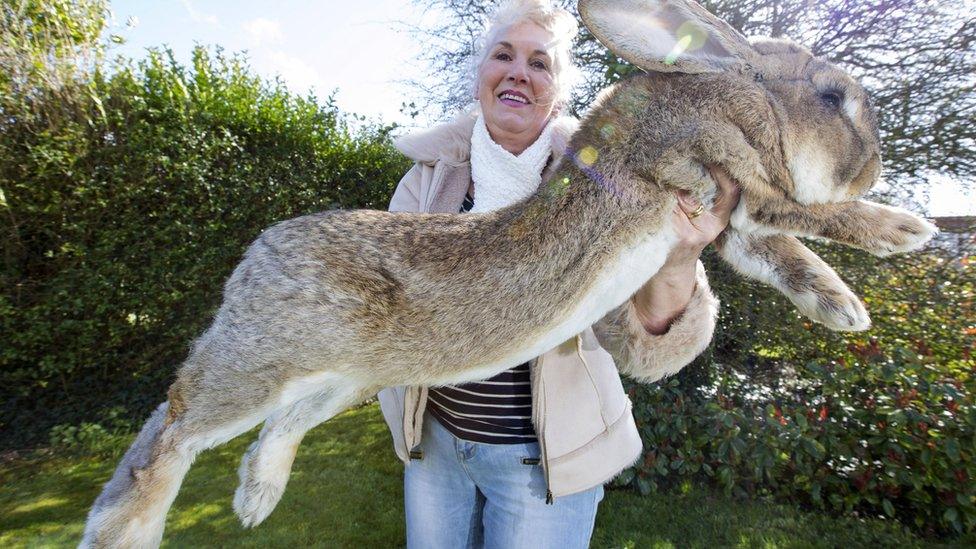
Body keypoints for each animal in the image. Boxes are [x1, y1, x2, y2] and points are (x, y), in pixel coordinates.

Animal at [82, 0, 936, 544]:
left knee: (272, 426)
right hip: (266, 359)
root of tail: (256, 255)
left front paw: (844, 308)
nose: (874, 167)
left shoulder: (736, 221)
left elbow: (785, 255)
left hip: (342, 376)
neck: (733, 93)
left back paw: (256, 498)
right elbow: (807, 216)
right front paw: (904, 230)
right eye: (832, 97)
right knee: (171, 431)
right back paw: (126, 531)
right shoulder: (726, 174)